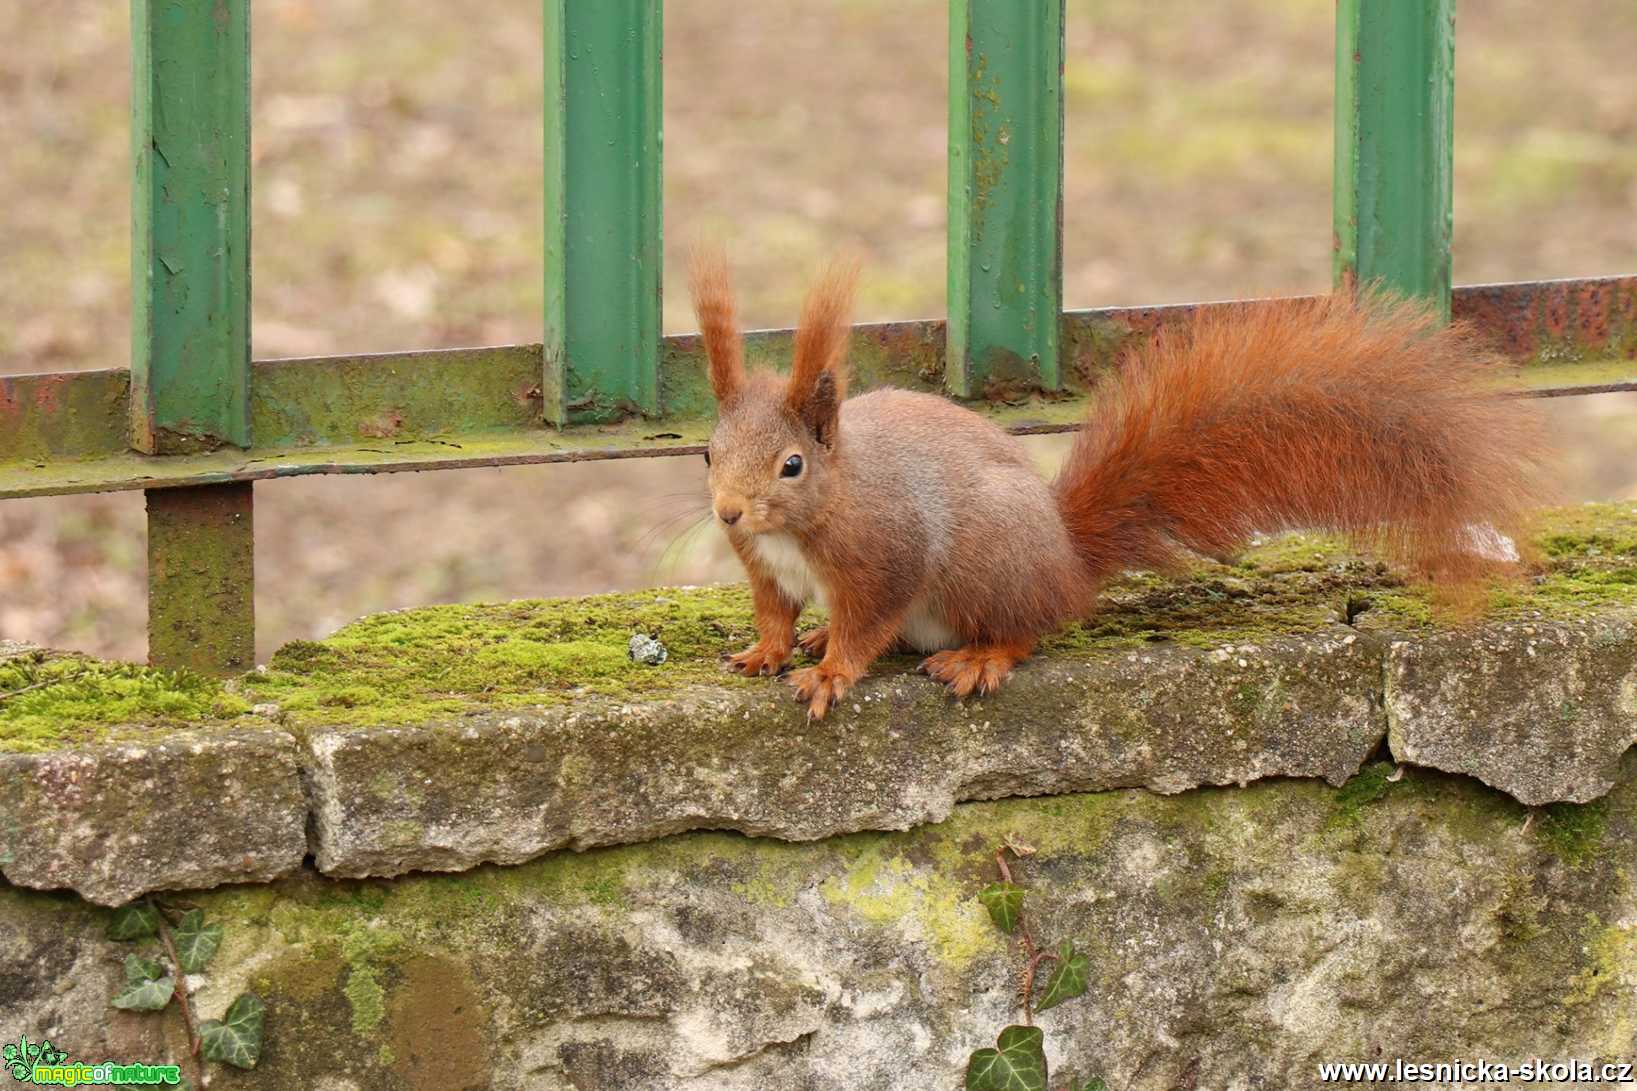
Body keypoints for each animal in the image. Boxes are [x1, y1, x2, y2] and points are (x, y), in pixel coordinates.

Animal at [687, 250, 1545, 717]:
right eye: (706, 452)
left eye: (791, 465)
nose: (727, 512)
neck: (802, 522)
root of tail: (1067, 560)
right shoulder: (768, 571)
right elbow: (774, 613)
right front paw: (770, 651)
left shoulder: (885, 553)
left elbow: (868, 622)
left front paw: (831, 671)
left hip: (989, 567)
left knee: (1027, 626)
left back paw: (980, 657)